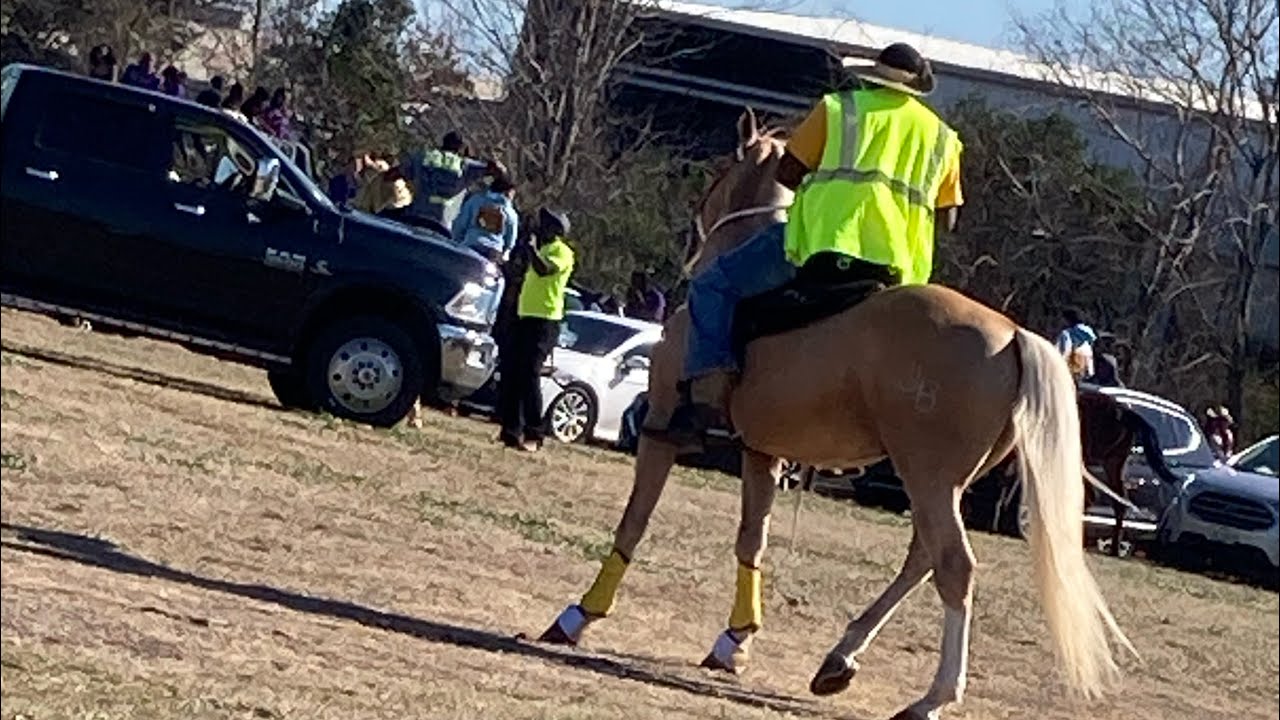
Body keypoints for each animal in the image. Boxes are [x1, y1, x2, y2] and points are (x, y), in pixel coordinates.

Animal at [537, 110, 1135, 719]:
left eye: (721, 168)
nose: (692, 229)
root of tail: (1014, 334)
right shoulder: (762, 451)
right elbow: (752, 540)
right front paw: (734, 641)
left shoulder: (660, 428)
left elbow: (634, 521)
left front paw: (580, 615)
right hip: (942, 483)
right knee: (922, 559)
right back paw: (840, 658)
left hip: (928, 478)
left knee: (953, 566)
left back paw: (933, 696)